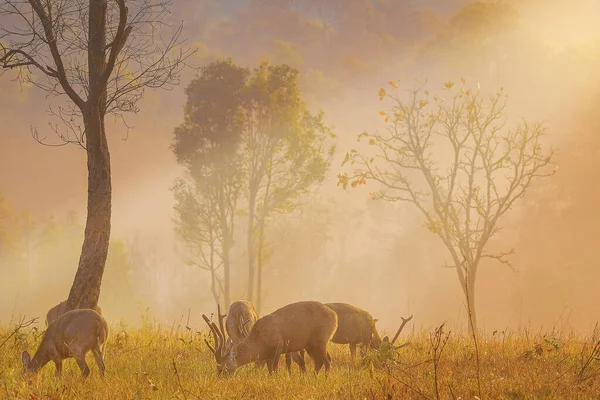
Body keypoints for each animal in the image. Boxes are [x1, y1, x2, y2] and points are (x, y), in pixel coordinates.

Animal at [204, 300, 338, 376]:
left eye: (223, 367)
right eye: (217, 367)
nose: (220, 378)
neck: (260, 342)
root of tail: (335, 316)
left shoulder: (278, 346)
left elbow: (275, 370)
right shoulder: (267, 355)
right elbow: (270, 371)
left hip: (321, 340)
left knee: (327, 361)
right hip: (310, 345)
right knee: (319, 361)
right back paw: (311, 378)